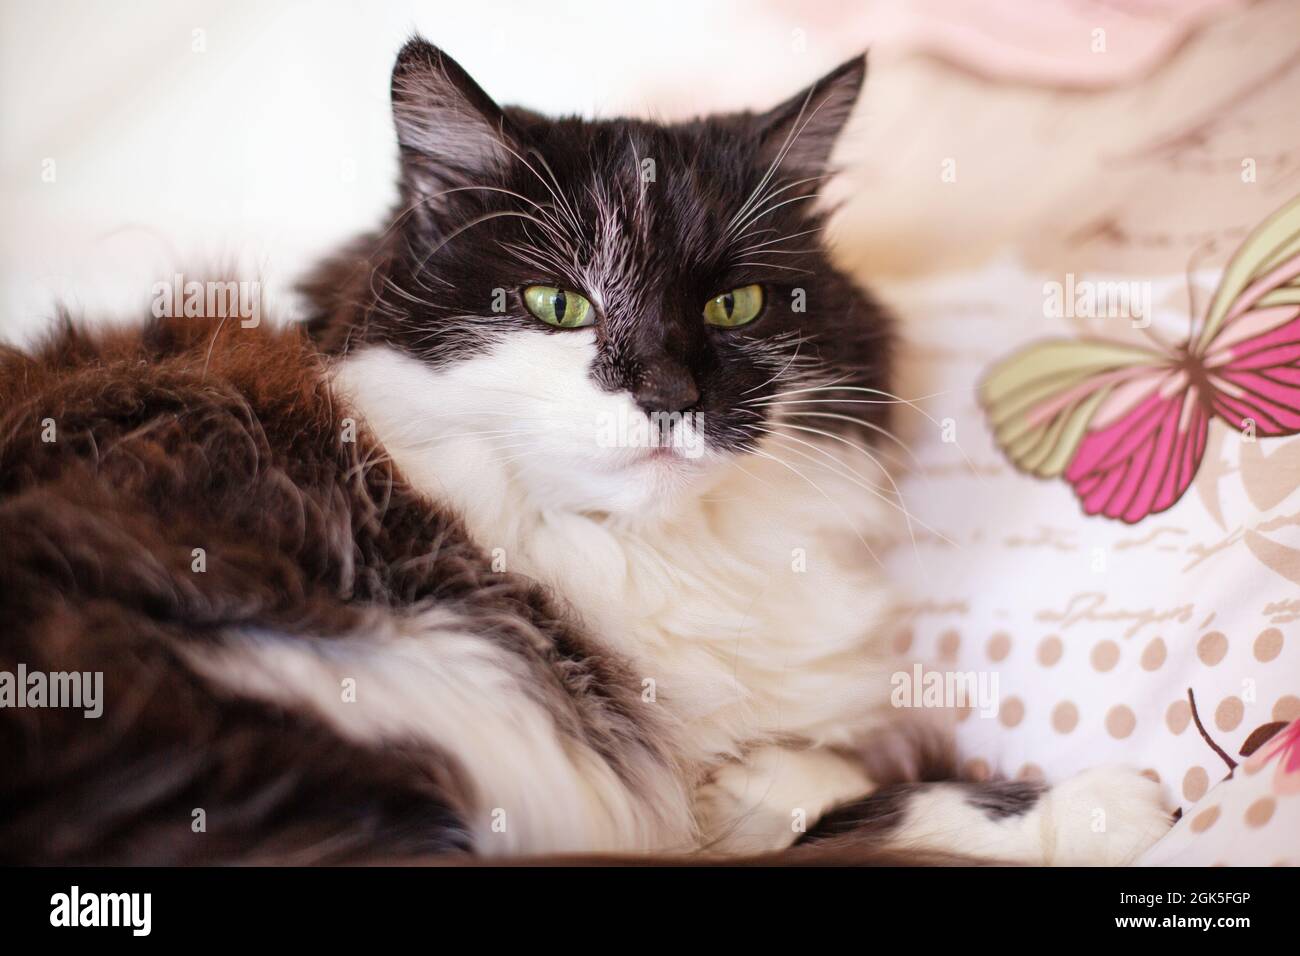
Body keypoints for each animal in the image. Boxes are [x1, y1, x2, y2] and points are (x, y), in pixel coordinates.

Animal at [0, 37, 1175, 863]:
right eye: (558, 305)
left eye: (735, 305)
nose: (668, 395)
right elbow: (857, 804)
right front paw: (1114, 804)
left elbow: (813, 781)